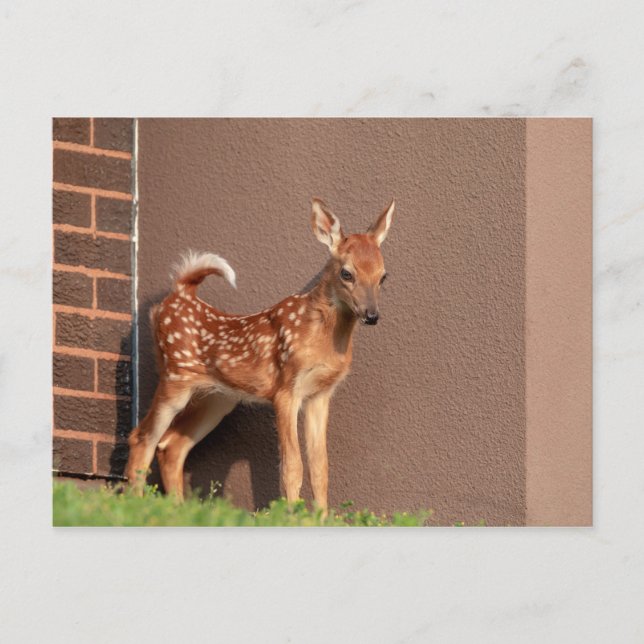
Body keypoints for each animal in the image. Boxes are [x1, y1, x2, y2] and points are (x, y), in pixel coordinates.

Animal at [125, 198, 395, 513]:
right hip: (175, 377)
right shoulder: (286, 389)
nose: (372, 315)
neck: (323, 338)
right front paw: (292, 516)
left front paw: (320, 517)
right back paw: (135, 507)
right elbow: (292, 466)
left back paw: (177, 510)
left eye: (383, 276)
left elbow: (320, 468)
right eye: (347, 273)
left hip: (218, 398)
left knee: (171, 445)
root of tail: (179, 293)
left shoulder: (320, 394)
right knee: (141, 437)